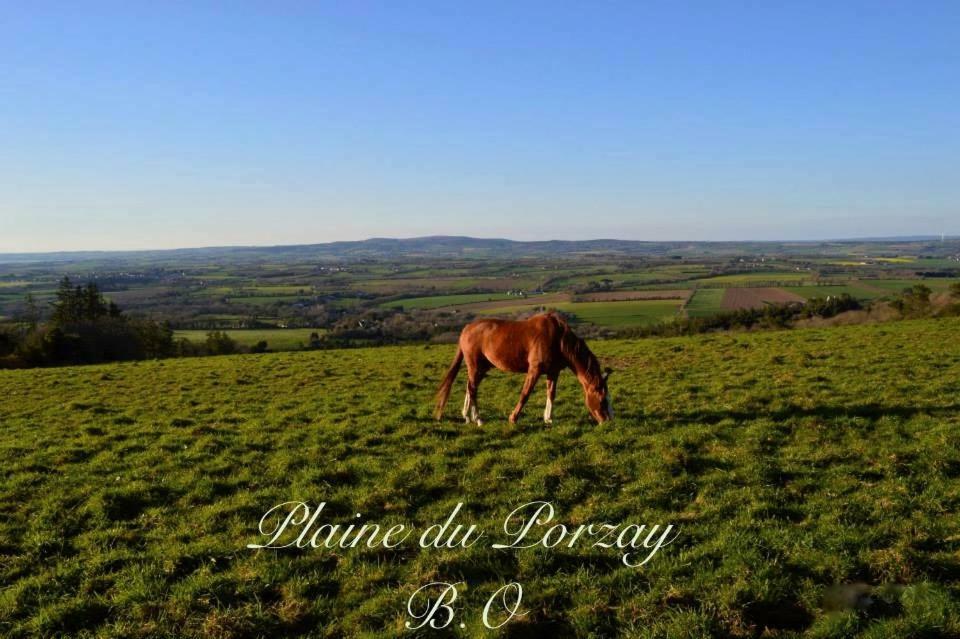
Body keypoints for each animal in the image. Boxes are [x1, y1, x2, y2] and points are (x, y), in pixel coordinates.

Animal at [432, 312, 612, 424]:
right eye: (602, 400)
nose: (608, 421)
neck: (558, 339)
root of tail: (466, 329)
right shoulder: (534, 371)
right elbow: (525, 394)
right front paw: (513, 418)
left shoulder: (553, 372)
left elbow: (551, 394)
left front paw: (548, 418)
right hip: (475, 366)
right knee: (472, 389)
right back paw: (478, 419)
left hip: (482, 368)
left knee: (470, 388)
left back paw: (467, 417)